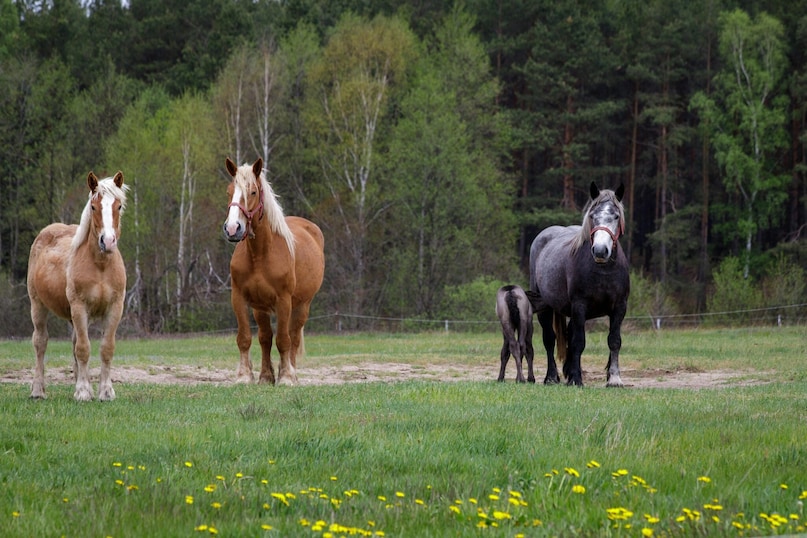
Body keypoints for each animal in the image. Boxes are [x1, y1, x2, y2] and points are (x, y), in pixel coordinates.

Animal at [27, 171, 128, 401]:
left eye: (118, 206)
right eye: (93, 206)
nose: (108, 241)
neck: (100, 266)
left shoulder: (115, 308)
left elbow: (106, 348)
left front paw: (105, 391)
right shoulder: (79, 306)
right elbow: (83, 348)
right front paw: (83, 392)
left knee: (74, 343)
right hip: (37, 305)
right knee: (40, 342)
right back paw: (38, 390)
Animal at [222, 157, 325, 385]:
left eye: (253, 192)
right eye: (229, 191)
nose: (233, 228)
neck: (260, 255)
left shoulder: (283, 301)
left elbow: (284, 340)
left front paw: (286, 377)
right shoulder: (239, 298)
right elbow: (246, 338)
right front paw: (245, 376)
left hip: (302, 306)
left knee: (293, 337)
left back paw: (292, 373)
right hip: (260, 308)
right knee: (265, 338)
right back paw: (266, 376)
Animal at [527, 182, 630, 387]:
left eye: (615, 216)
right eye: (592, 215)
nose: (600, 250)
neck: (603, 271)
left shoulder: (619, 307)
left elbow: (614, 341)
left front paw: (614, 378)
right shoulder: (579, 305)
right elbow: (579, 342)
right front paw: (576, 379)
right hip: (545, 307)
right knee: (550, 339)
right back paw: (552, 377)